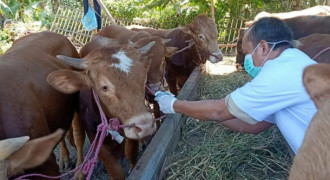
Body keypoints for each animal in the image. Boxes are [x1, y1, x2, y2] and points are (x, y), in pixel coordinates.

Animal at [47, 41, 157, 180]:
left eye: (143, 80)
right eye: (104, 87)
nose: (145, 125)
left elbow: (131, 154)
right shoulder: (95, 136)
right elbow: (116, 172)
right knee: (78, 138)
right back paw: (76, 167)